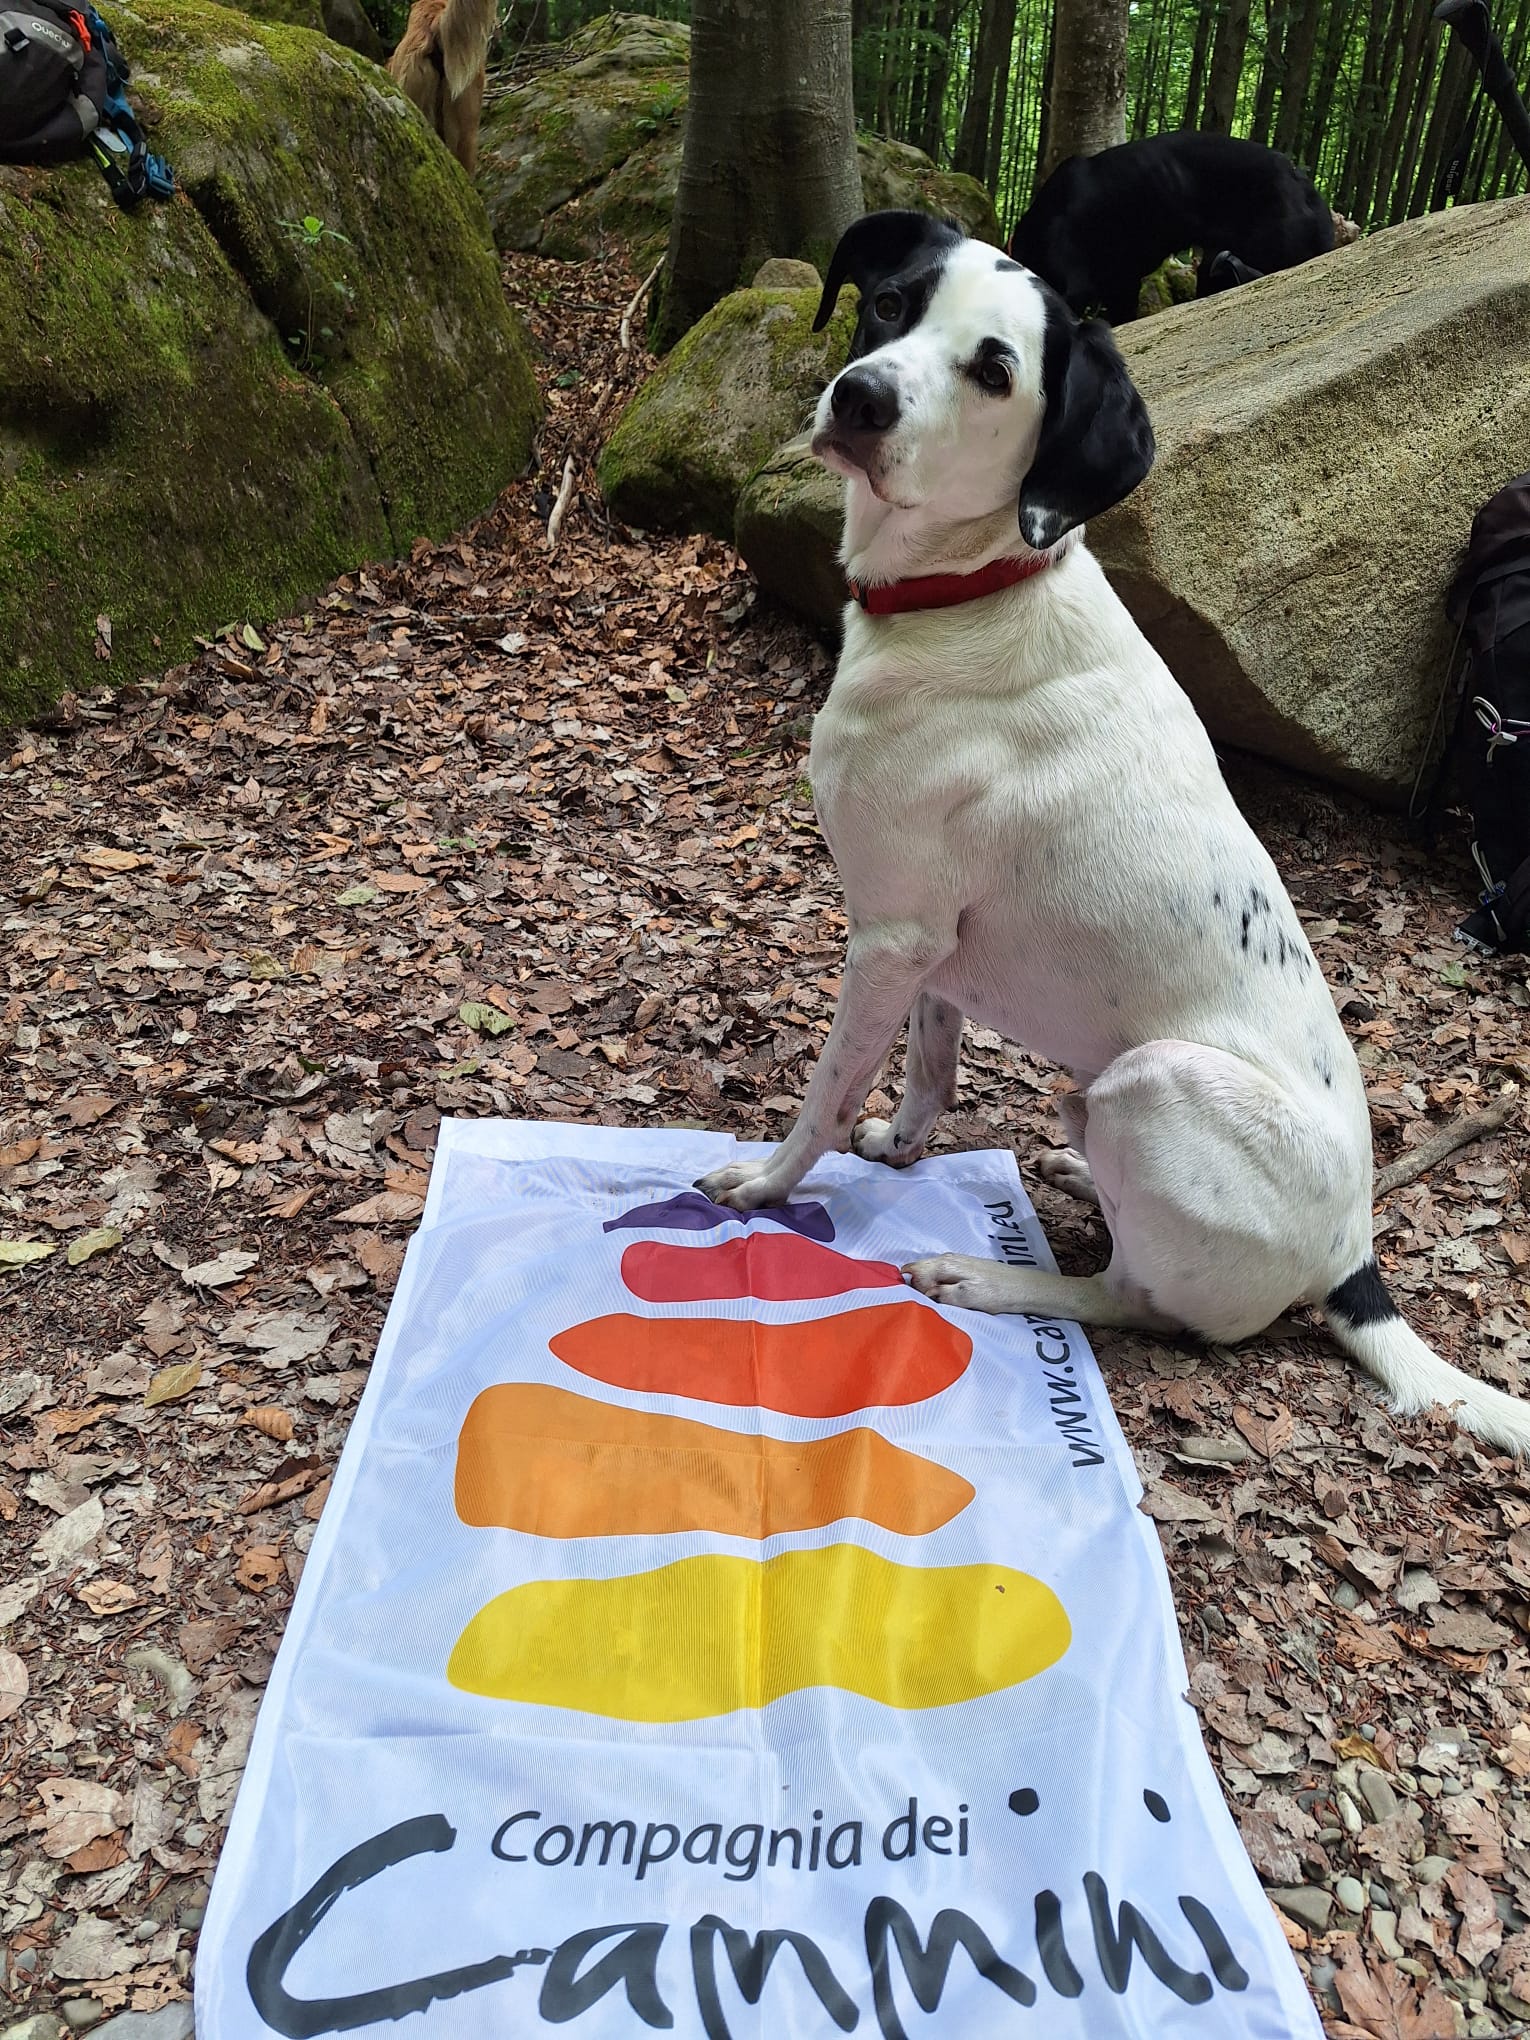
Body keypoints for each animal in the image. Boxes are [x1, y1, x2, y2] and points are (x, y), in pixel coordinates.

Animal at [696, 209, 1530, 1458]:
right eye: (891, 303)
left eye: (995, 371)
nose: (859, 398)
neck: (977, 590)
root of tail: (1352, 1253)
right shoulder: (932, 954)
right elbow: (929, 1068)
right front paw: (900, 1145)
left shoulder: (889, 938)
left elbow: (828, 1091)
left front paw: (769, 1185)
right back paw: (1073, 1170)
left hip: (1156, 1083)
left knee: (1138, 1301)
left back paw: (996, 1279)